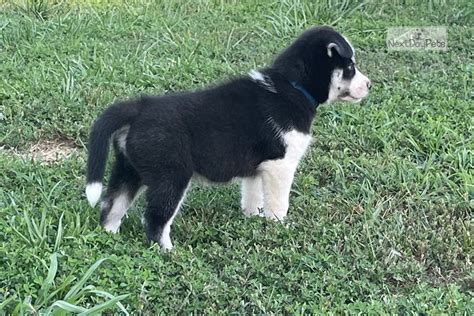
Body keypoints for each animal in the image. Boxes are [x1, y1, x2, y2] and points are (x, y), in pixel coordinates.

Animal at [87, 25, 372, 249]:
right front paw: (279, 228)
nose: (370, 85)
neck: (292, 86)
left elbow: (253, 197)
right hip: (171, 176)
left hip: (129, 170)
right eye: (350, 67)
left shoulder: (257, 170)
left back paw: (110, 237)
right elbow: (279, 204)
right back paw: (168, 251)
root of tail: (140, 107)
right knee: (155, 219)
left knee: (111, 205)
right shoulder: (280, 166)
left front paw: (252, 219)